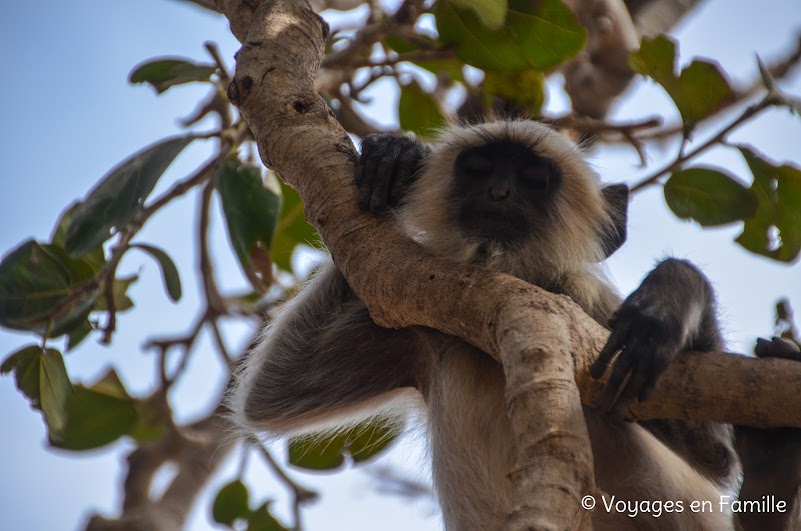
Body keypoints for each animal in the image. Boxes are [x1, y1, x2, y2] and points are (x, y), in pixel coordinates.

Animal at [231, 121, 788, 531]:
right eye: (479, 169)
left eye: (533, 179)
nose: (499, 192)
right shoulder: (424, 333)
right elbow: (270, 395)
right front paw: (395, 159)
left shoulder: (585, 305)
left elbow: (715, 459)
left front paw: (668, 302)